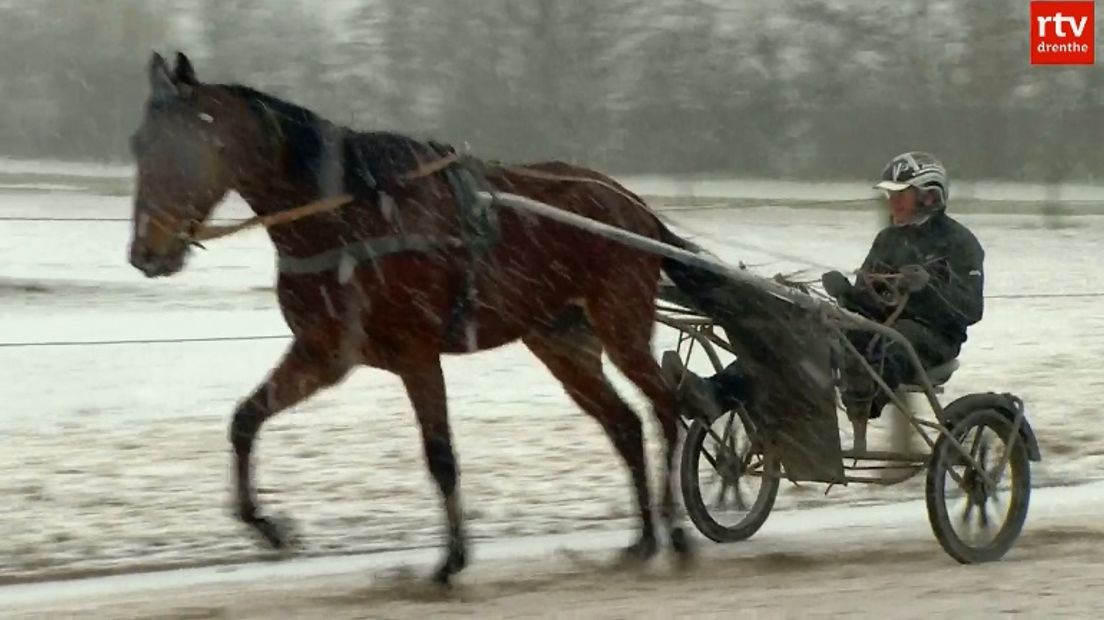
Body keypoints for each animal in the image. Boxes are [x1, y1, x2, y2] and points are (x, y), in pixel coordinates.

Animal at [129, 50, 693, 582]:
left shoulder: (417, 353)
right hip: (562, 343)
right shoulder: (324, 353)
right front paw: (269, 527)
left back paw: (676, 526)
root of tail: (635, 205)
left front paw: (452, 558)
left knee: (667, 406)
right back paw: (644, 536)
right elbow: (245, 420)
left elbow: (440, 455)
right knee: (624, 425)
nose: (145, 252)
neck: (347, 219)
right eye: (139, 144)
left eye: (186, 147)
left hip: (621, 326)